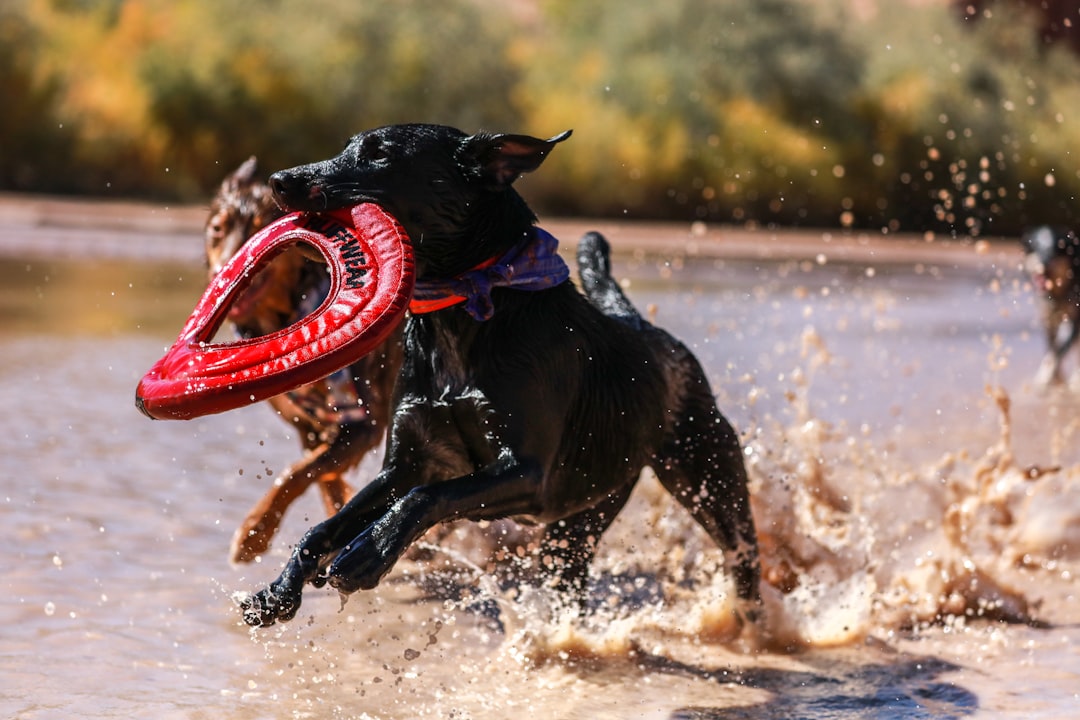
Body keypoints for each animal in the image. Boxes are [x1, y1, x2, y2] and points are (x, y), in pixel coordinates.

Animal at [204, 157, 403, 561]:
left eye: (260, 227)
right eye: (218, 229)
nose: (223, 274)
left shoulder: (364, 423)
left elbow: (298, 473)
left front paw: (254, 533)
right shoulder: (307, 427)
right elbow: (323, 478)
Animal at [238, 125, 760, 630]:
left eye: (379, 153)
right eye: (348, 146)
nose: (279, 181)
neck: (461, 313)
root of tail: (643, 327)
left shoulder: (525, 473)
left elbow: (427, 498)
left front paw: (369, 553)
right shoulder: (405, 464)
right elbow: (326, 525)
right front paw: (277, 592)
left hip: (709, 479)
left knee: (742, 555)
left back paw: (751, 625)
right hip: (584, 516)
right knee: (568, 580)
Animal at [1019, 227, 1080, 390]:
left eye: (1054, 251)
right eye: (1036, 248)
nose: (1043, 265)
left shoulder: (1075, 322)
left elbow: (1059, 351)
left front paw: (1045, 378)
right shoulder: (1048, 320)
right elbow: (1052, 349)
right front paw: (1056, 380)